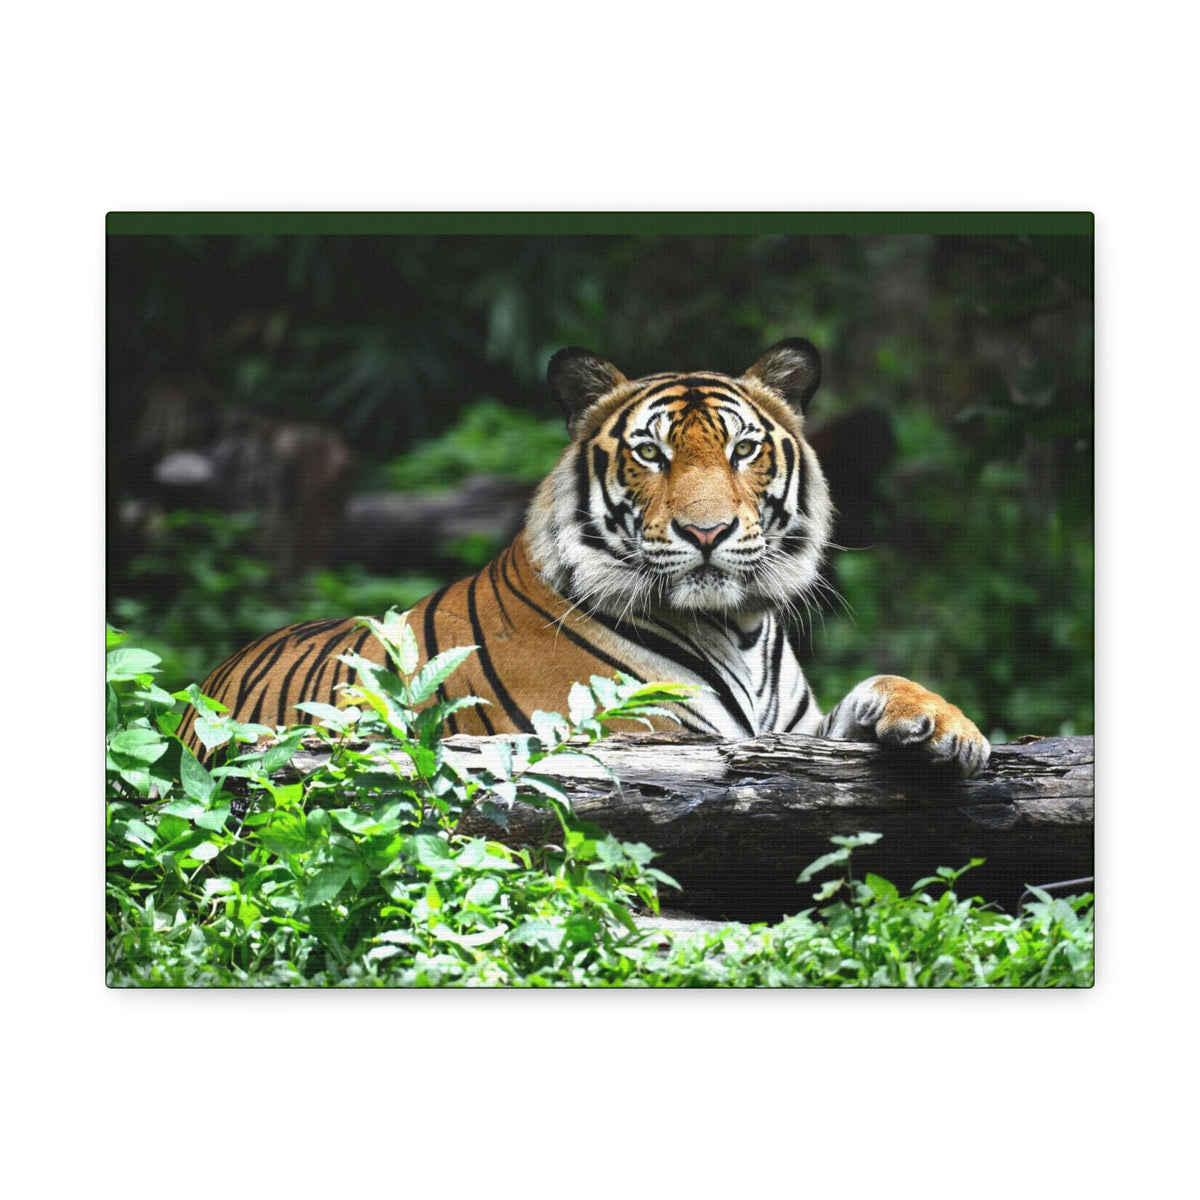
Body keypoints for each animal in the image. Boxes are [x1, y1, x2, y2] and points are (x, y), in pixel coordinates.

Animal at [178, 338, 990, 776]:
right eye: (651, 453)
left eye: (743, 449)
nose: (706, 532)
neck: (738, 627)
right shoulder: (639, 736)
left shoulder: (794, 734)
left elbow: (878, 686)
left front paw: (947, 727)